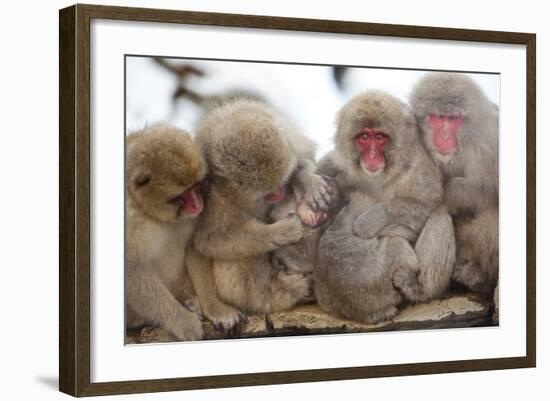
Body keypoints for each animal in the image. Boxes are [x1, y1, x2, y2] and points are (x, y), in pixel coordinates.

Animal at [126, 123, 208, 340]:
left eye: (195, 186)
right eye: (183, 194)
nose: (198, 204)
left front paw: (191, 300)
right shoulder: (131, 222)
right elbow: (133, 269)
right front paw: (182, 321)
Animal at [190, 99, 332, 328]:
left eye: (282, 182)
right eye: (268, 193)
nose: (280, 191)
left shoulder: (291, 138)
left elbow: (305, 157)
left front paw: (305, 180)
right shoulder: (211, 195)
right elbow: (210, 239)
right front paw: (282, 231)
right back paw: (281, 293)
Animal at [316, 90, 454, 322]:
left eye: (380, 137)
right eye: (364, 137)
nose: (372, 156)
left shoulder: (417, 165)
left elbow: (427, 203)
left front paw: (368, 223)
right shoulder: (339, 161)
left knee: (440, 214)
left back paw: (420, 290)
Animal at [412, 72, 502, 296]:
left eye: (453, 119)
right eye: (438, 118)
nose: (444, 135)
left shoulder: (490, 139)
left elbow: (488, 189)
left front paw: (447, 192)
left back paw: (481, 279)